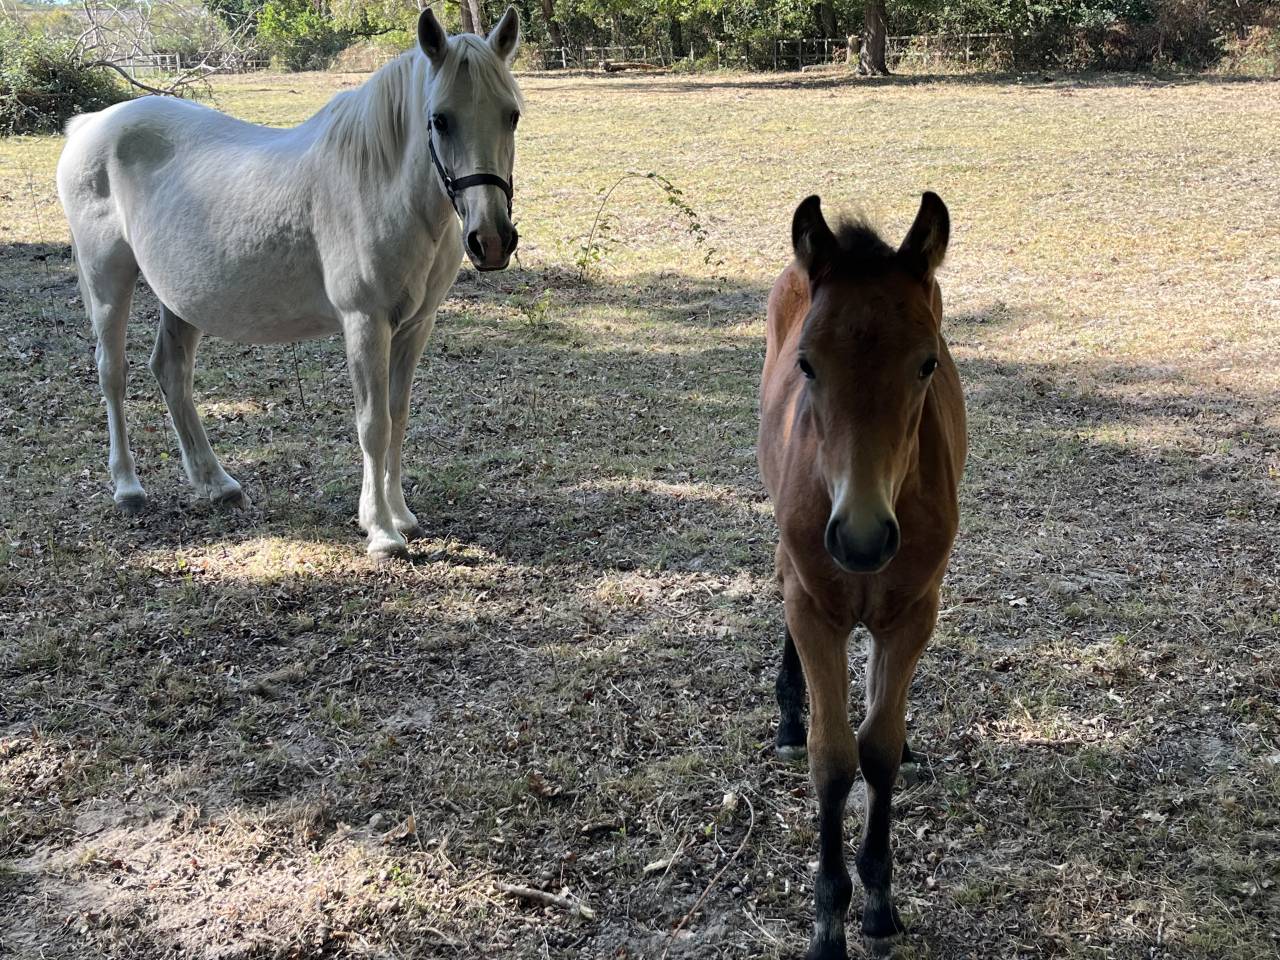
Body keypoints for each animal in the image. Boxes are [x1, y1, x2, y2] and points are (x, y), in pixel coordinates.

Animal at [55, 8, 523, 559]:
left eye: (511, 115)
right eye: (440, 119)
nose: (491, 240)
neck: (380, 185)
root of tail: (92, 124)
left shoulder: (415, 326)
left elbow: (399, 416)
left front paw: (400, 515)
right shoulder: (366, 324)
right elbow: (374, 425)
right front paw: (382, 532)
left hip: (181, 300)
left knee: (171, 372)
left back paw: (217, 484)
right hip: (108, 281)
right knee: (113, 373)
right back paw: (128, 487)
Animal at [757, 192, 966, 959]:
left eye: (928, 364)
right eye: (808, 365)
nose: (863, 536)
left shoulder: (913, 611)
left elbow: (875, 748)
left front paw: (876, 899)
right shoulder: (816, 608)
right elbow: (832, 758)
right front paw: (828, 920)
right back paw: (789, 714)